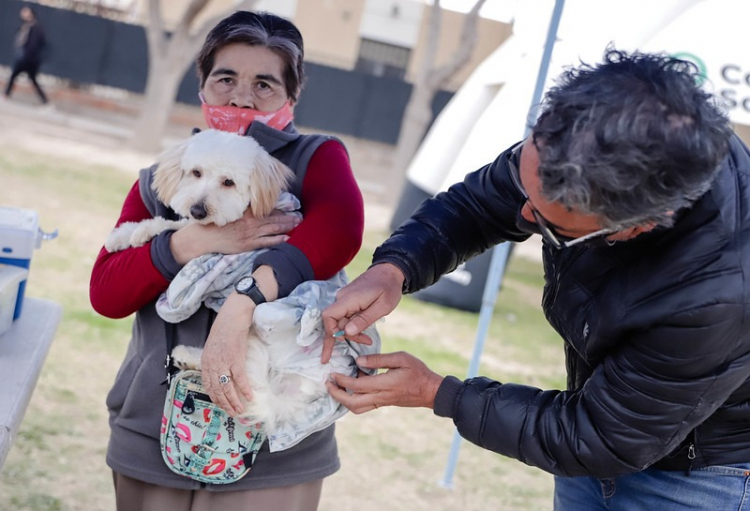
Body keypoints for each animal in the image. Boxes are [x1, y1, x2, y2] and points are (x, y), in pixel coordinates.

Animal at [106, 128, 294, 252]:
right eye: (196, 172)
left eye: (228, 182)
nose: (197, 211)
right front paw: (120, 236)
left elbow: (170, 223)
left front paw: (142, 231)